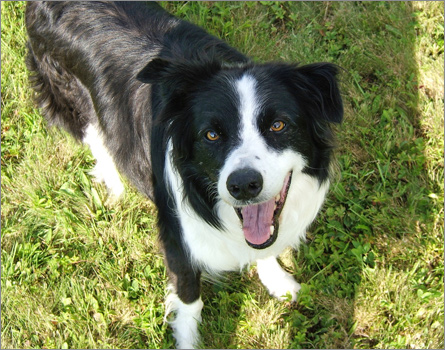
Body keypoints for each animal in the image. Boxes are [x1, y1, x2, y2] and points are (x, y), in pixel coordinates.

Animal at [25, 2, 344, 348]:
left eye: (278, 125)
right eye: (212, 135)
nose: (243, 185)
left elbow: (264, 246)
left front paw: (277, 279)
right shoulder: (176, 235)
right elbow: (189, 299)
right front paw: (187, 339)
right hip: (65, 92)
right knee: (93, 134)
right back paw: (113, 184)